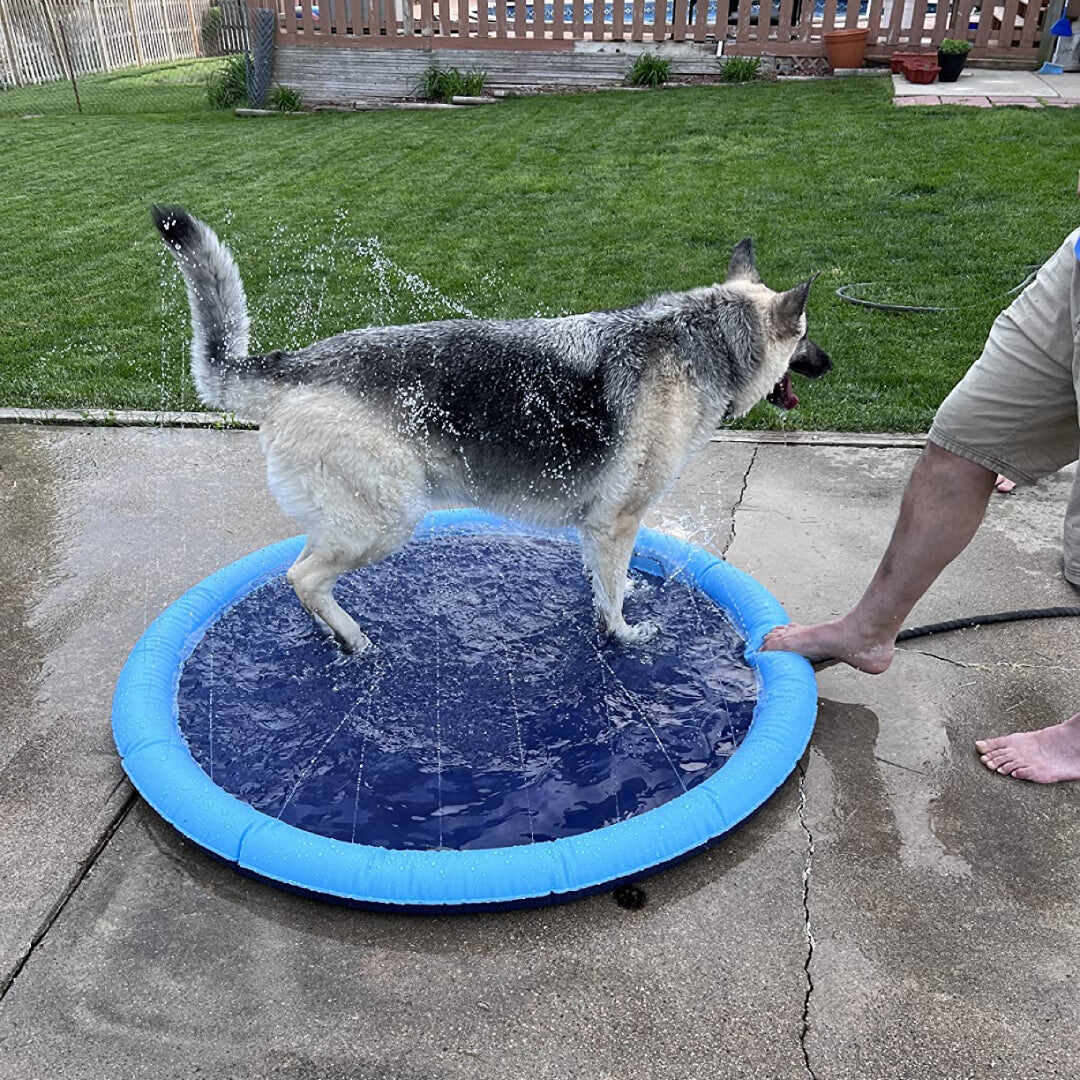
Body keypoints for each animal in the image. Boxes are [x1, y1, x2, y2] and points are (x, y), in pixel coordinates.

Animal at [152, 206, 829, 652]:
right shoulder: (617, 521)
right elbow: (609, 597)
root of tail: (292, 367)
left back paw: (330, 632)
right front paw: (623, 633)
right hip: (386, 520)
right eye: (806, 336)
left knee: (301, 573)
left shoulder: (597, 528)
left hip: (353, 518)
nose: (827, 363)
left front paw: (624, 597)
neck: (704, 338)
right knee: (301, 578)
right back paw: (353, 639)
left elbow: (606, 580)